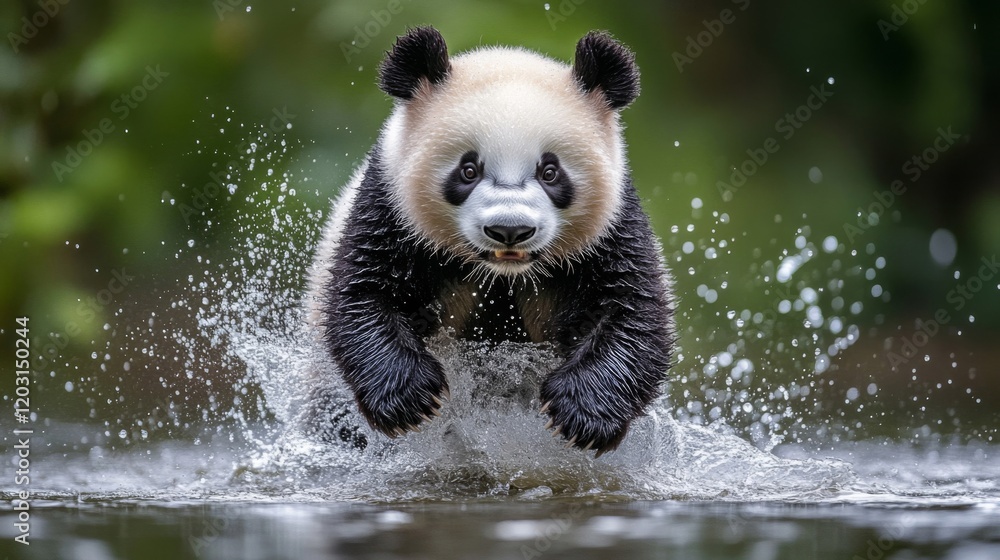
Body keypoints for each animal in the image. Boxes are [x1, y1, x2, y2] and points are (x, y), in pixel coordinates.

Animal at [304, 26, 675, 457]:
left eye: (550, 171)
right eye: (468, 169)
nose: (509, 230)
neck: (502, 272)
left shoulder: (611, 227)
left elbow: (631, 311)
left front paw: (581, 415)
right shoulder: (390, 208)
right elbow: (363, 292)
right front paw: (409, 399)